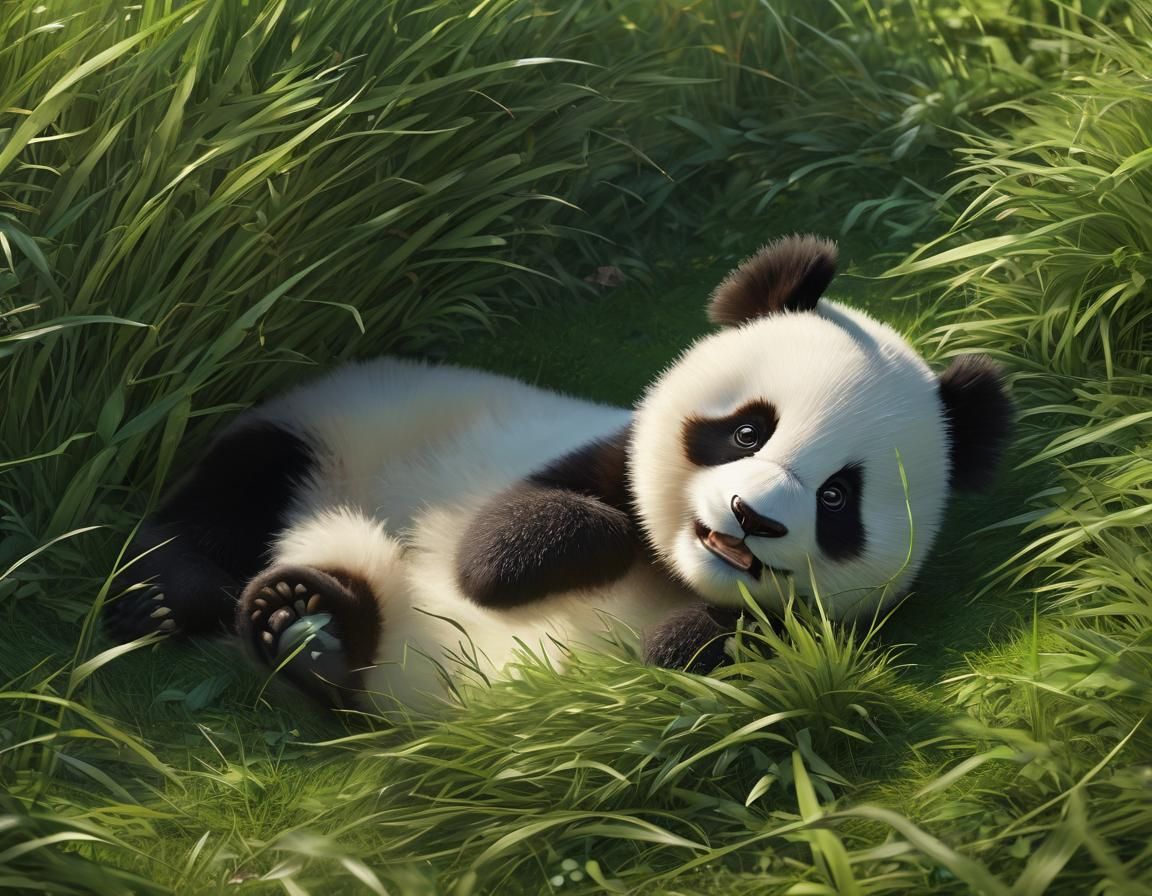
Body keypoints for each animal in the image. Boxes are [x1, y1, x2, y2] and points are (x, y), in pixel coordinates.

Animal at [104, 235, 1013, 713]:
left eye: (835, 496)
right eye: (748, 430)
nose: (750, 518)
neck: (680, 572)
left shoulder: (855, 625)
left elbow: (758, 652)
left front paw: (688, 637)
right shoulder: (598, 454)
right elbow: (498, 547)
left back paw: (312, 629)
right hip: (331, 427)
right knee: (227, 502)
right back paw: (192, 602)